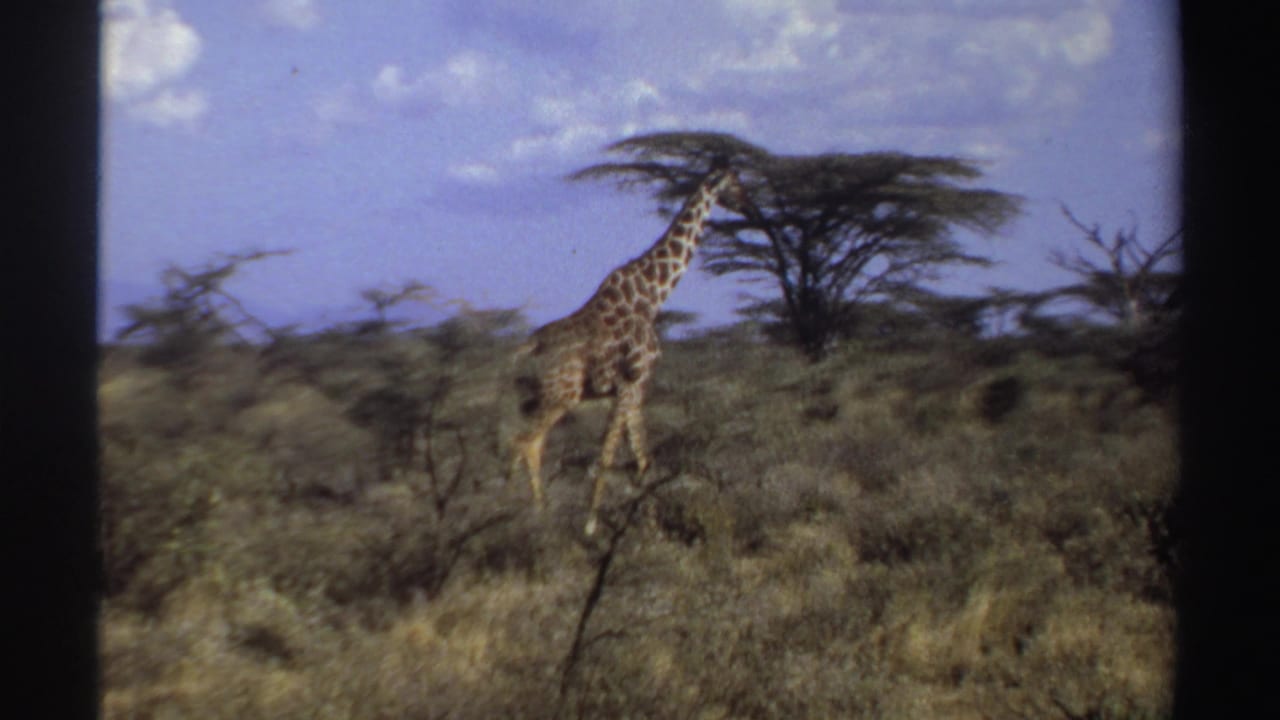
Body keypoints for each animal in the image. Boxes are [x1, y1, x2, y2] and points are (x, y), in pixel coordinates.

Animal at [508, 163, 748, 535]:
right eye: (735, 182)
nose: (748, 205)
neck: (652, 296)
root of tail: (529, 346)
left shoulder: (634, 387)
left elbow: (640, 455)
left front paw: (648, 523)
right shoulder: (631, 382)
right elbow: (610, 455)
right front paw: (593, 525)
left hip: (546, 397)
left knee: (528, 445)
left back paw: (532, 512)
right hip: (560, 395)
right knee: (525, 443)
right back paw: (522, 515)